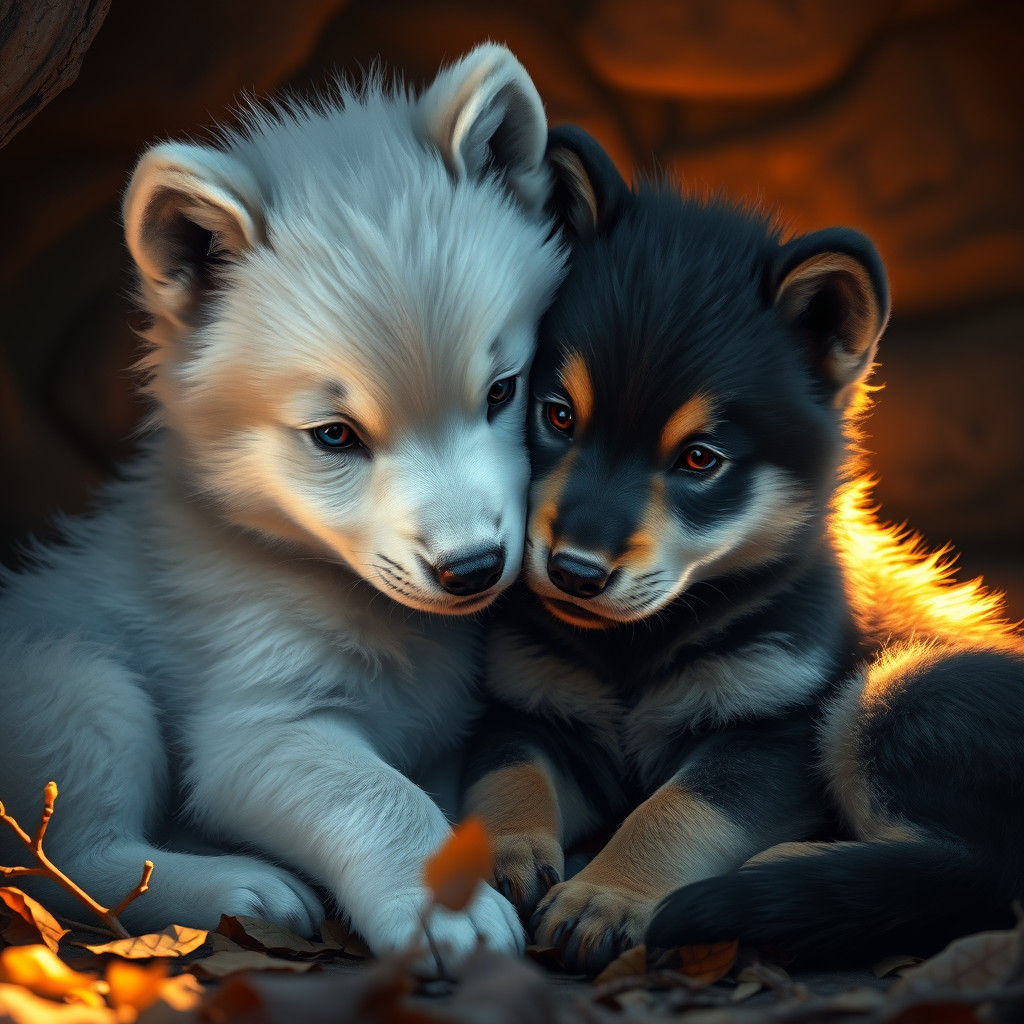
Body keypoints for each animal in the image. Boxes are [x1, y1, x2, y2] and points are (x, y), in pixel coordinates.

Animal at [0, 46, 565, 969]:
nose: (472, 569)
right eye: (334, 435)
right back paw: (235, 886)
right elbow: (375, 793)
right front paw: (447, 907)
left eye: (502, 391)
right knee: (64, 858)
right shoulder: (256, 719)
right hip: (82, 683)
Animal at [463, 125, 1024, 972]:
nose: (574, 573)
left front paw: (608, 894)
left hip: (893, 691)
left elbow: (678, 810)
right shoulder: (529, 705)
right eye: (557, 414)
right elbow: (507, 776)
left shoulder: (772, 729)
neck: (635, 651)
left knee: (981, 873)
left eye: (700, 460)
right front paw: (491, 857)